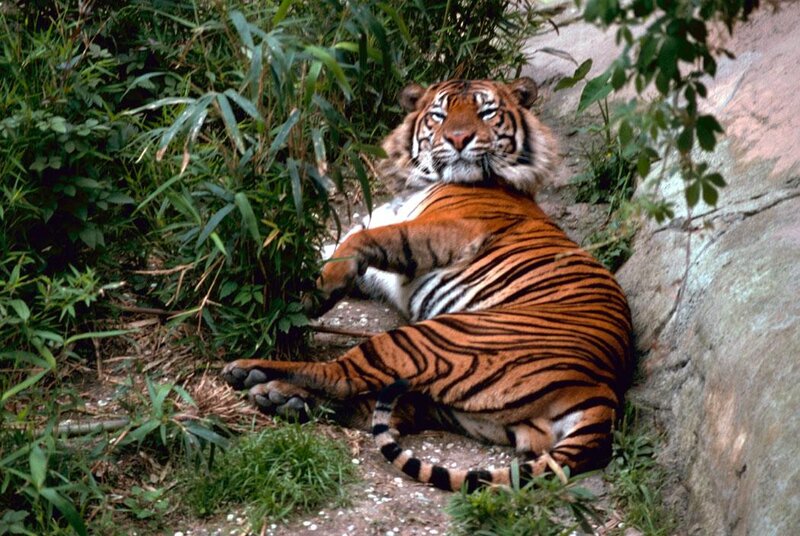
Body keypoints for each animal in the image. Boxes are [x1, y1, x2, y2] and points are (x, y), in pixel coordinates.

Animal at [222, 77, 633, 492]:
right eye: (439, 114)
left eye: (486, 112)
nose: (459, 139)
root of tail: (602, 391)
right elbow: (330, 248)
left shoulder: (451, 229)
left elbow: (359, 242)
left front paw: (312, 294)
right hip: (468, 410)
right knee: (384, 405)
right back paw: (283, 398)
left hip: (428, 339)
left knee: (342, 377)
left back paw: (254, 373)